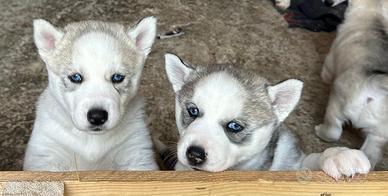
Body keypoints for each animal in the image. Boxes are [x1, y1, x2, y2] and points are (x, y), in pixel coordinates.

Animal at [22, 16, 158, 171]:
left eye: (118, 77)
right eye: (75, 77)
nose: (97, 117)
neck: (92, 140)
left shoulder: (136, 152)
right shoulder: (47, 152)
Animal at [159, 53, 372, 179]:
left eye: (234, 126)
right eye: (193, 111)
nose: (194, 155)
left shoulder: (290, 159)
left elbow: (308, 163)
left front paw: (338, 156)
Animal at [316, 0, 388, 168]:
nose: (327, 2)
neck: (374, 14)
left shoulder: (329, 62)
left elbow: (326, 74)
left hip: (336, 104)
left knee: (333, 131)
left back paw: (320, 131)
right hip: (378, 135)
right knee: (369, 157)